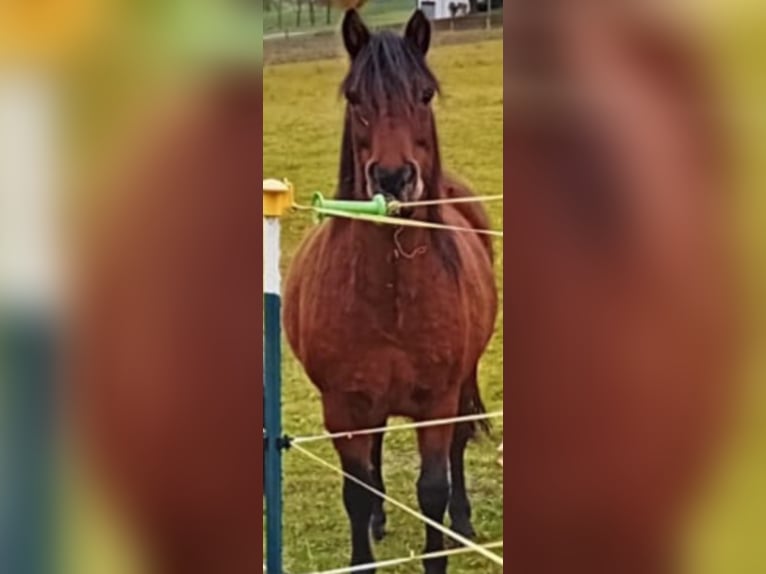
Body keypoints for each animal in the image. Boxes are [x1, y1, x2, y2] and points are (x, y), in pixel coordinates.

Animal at [284, 9, 500, 574]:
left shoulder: (438, 402)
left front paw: (444, 539)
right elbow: (357, 492)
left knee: (458, 444)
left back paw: (463, 521)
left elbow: (432, 491)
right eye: (355, 97)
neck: (391, 300)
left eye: (424, 94)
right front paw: (368, 535)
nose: (394, 177)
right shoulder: (342, 407)